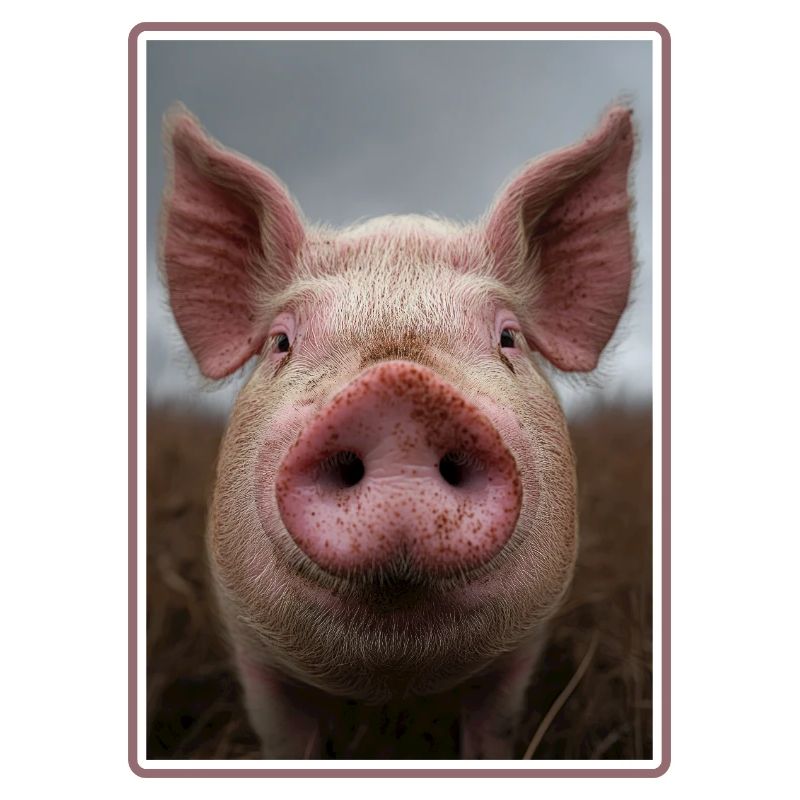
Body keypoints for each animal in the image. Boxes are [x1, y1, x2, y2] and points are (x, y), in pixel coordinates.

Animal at [158, 103, 636, 759]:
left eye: (508, 338)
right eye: (281, 342)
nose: (398, 391)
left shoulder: (521, 652)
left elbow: (492, 730)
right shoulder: (253, 651)